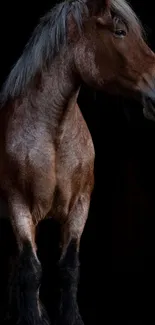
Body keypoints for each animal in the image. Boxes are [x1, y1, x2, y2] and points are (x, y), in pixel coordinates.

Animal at [0, 0, 155, 322]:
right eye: (119, 32)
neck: (54, 134)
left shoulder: (80, 206)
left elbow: (69, 268)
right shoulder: (19, 206)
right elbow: (31, 270)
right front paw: (33, 318)